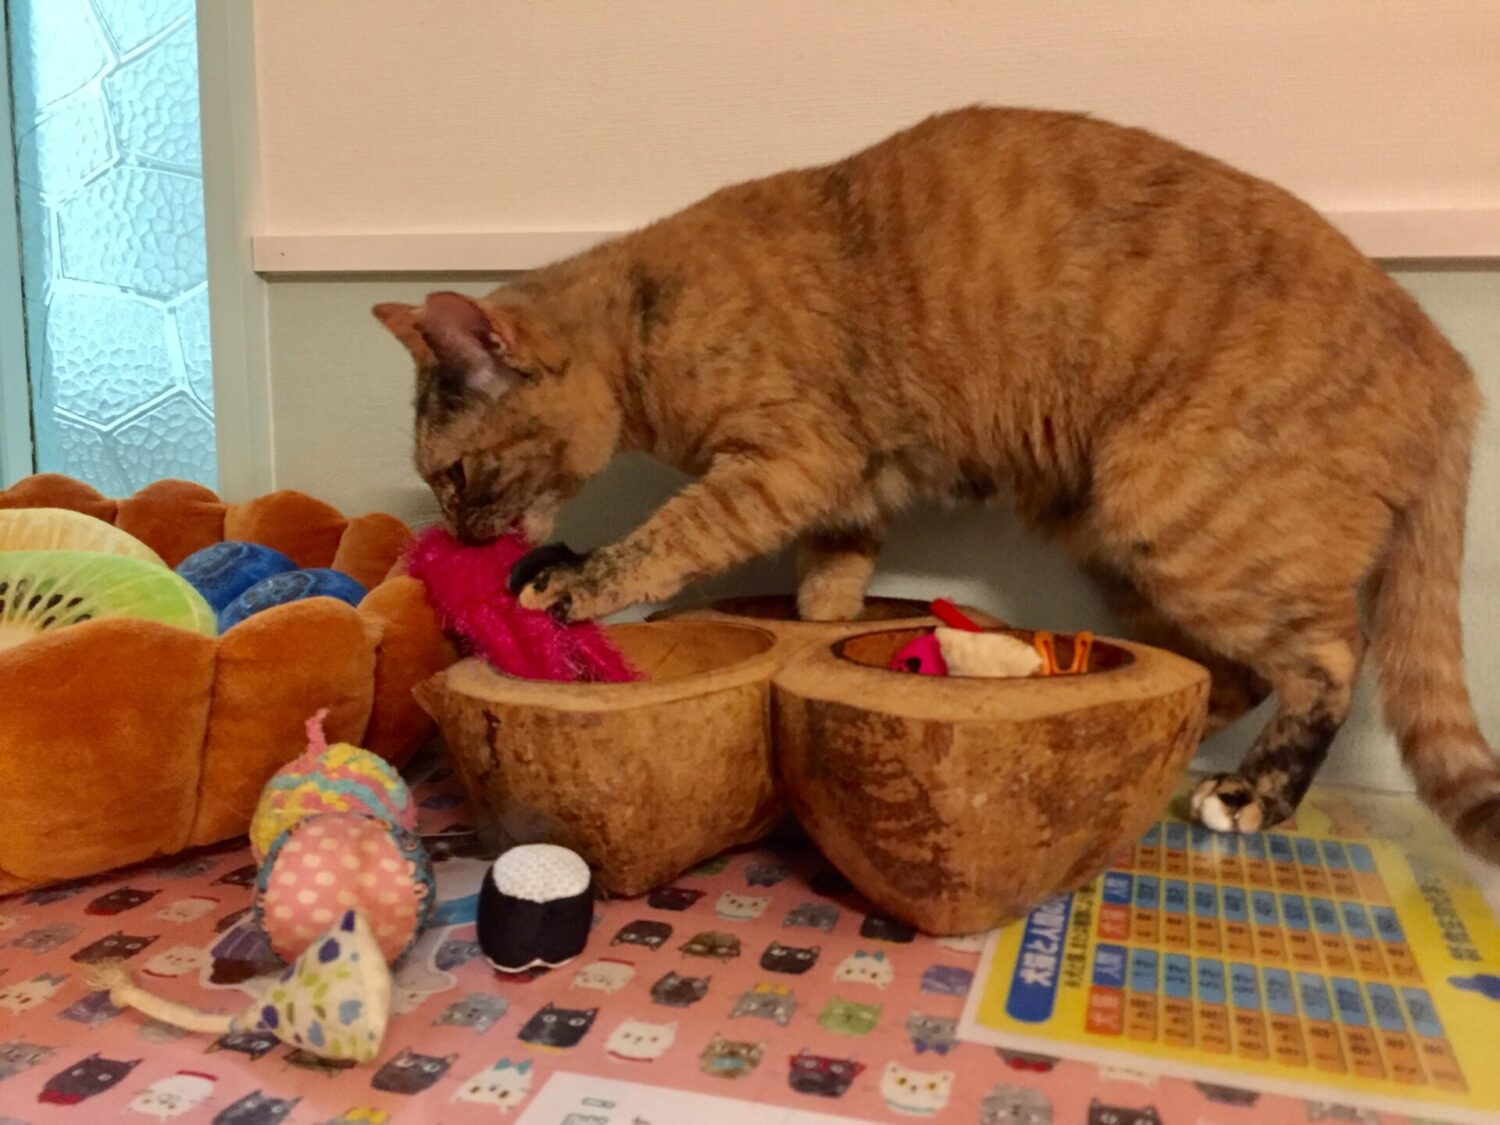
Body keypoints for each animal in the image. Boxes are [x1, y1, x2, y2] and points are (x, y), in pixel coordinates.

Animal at [377, 106, 1499, 860]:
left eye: (458, 471)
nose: (465, 541)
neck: (642, 323)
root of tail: (1450, 365)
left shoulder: (789, 462)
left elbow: (671, 535)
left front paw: (571, 578)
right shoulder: (844, 498)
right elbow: (825, 596)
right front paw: (815, 634)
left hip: (1171, 511)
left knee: (1328, 657)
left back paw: (1253, 797)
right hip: (1116, 533)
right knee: (1229, 671)